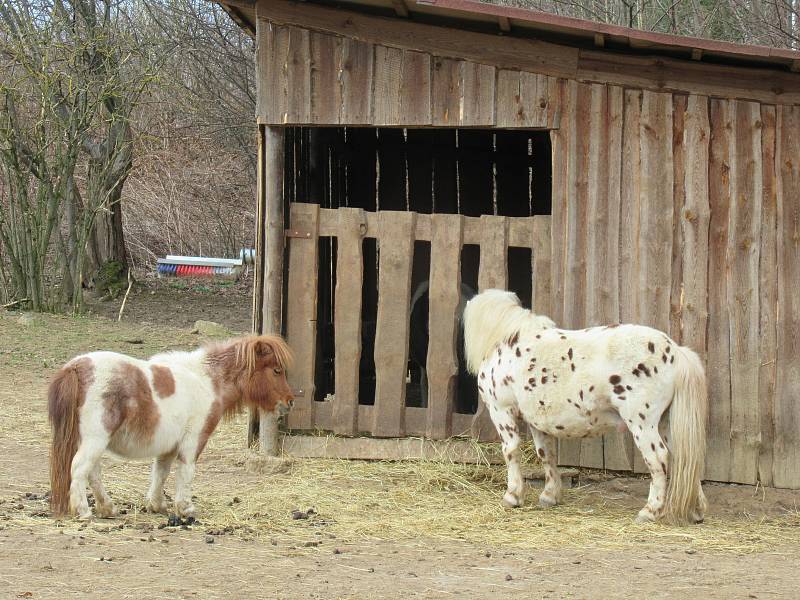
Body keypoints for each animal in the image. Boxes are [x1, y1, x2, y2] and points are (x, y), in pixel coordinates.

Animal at [48, 336, 296, 516]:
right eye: (276, 370)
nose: (289, 402)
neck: (207, 381)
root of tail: (75, 367)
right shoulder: (194, 440)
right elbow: (186, 471)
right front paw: (185, 507)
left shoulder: (168, 446)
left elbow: (161, 472)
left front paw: (156, 505)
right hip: (95, 439)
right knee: (80, 468)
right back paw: (83, 511)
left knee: (93, 473)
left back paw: (107, 508)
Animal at [462, 290, 708, 524]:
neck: (504, 342)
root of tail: (676, 351)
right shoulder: (537, 421)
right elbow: (546, 454)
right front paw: (549, 496)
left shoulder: (501, 411)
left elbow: (511, 451)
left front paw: (512, 496)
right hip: (665, 423)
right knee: (684, 459)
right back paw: (696, 511)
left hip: (642, 424)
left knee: (659, 459)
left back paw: (650, 511)